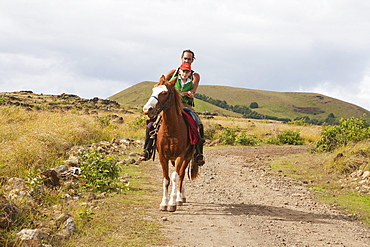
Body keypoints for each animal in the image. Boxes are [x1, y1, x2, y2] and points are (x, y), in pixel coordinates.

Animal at [142, 75, 199, 212]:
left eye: (164, 93)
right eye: (153, 90)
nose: (147, 109)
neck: (171, 130)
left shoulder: (180, 156)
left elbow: (175, 177)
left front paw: (172, 203)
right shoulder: (163, 157)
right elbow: (166, 179)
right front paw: (164, 203)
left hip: (187, 157)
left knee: (181, 175)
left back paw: (179, 198)